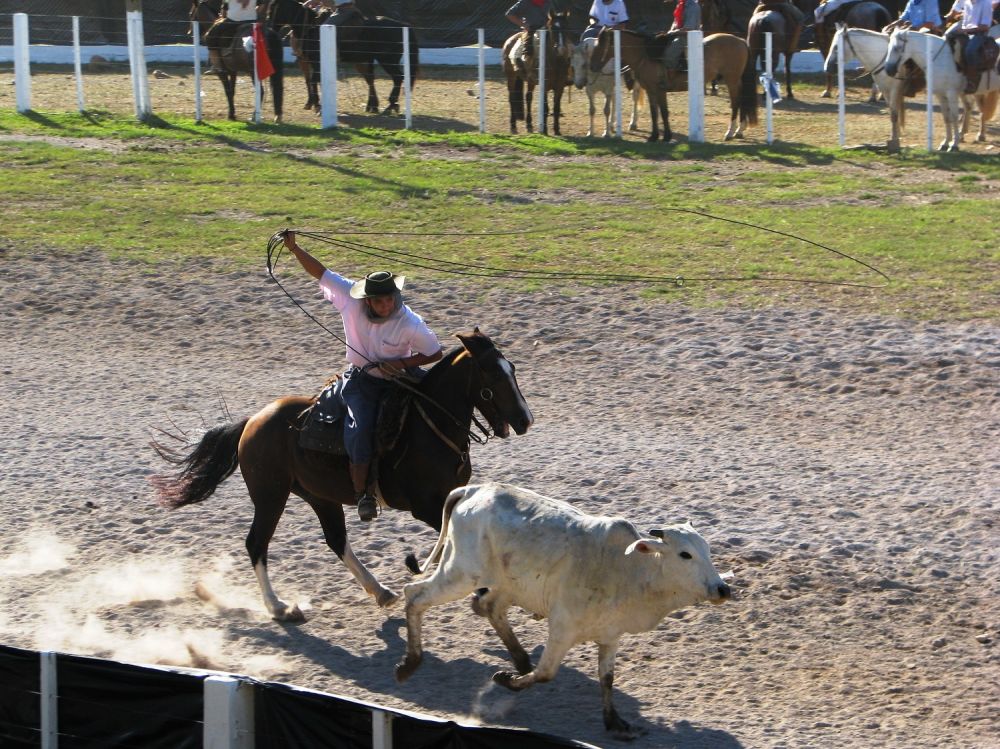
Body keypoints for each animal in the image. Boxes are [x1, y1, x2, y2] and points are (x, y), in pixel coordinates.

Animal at [149, 330, 536, 624]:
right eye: (493, 375)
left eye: (513, 369)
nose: (525, 420)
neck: (429, 426)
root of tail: (252, 421)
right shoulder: (424, 505)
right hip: (270, 495)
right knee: (256, 543)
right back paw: (280, 607)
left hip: (319, 496)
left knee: (336, 540)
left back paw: (380, 592)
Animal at [264, 0, 420, 113]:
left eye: (272, 10)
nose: (271, 29)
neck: (310, 27)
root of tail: (404, 25)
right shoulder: (310, 61)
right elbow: (312, 81)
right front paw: (314, 103)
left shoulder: (317, 62)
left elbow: (314, 81)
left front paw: (317, 105)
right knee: (376, 79)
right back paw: (379, 106)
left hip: (387, 60)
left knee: (398, 78)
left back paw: (390, 105)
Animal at [392, 482, 736, 732]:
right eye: (685, 554)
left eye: (707, 550)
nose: (722, 588)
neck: (627, 570)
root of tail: (473, 489)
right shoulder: (562, 627)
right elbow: (546, 673)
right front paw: (506, 680)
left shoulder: (610, 636)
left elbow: (607, 679)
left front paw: (614, 722)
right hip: (461, 574)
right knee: (415, 594)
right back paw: (410, 663)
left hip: (501, 584)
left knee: (489, 607)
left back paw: (520, 659)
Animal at [592, 28, 756, 142]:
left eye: (601, 46)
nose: (594, 66)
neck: (645, 54)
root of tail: (740, 40)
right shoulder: (651, 91)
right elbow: (654, 113)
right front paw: (654, 136)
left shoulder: (659, 90)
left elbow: (664, 112)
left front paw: (666, 136)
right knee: (741, 102)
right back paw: (739, 131)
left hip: (732, 80)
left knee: (736, 103)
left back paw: (730, 132)